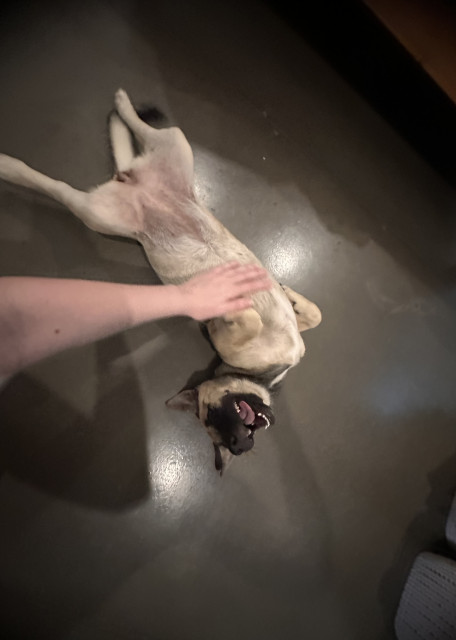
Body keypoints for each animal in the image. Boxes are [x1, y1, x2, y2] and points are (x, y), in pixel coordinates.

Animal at [0, 89, 321, 473]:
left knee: (116, 150)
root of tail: (131, 179)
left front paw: (292, 298)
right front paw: (240, 307)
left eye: (221, 432)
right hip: (118, 196)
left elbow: (313, 316)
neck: (265, 376)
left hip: (141, 177)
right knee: (59, 182)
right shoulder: (235, 340)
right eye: (213, 417)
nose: (241, 444)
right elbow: (255, 320)